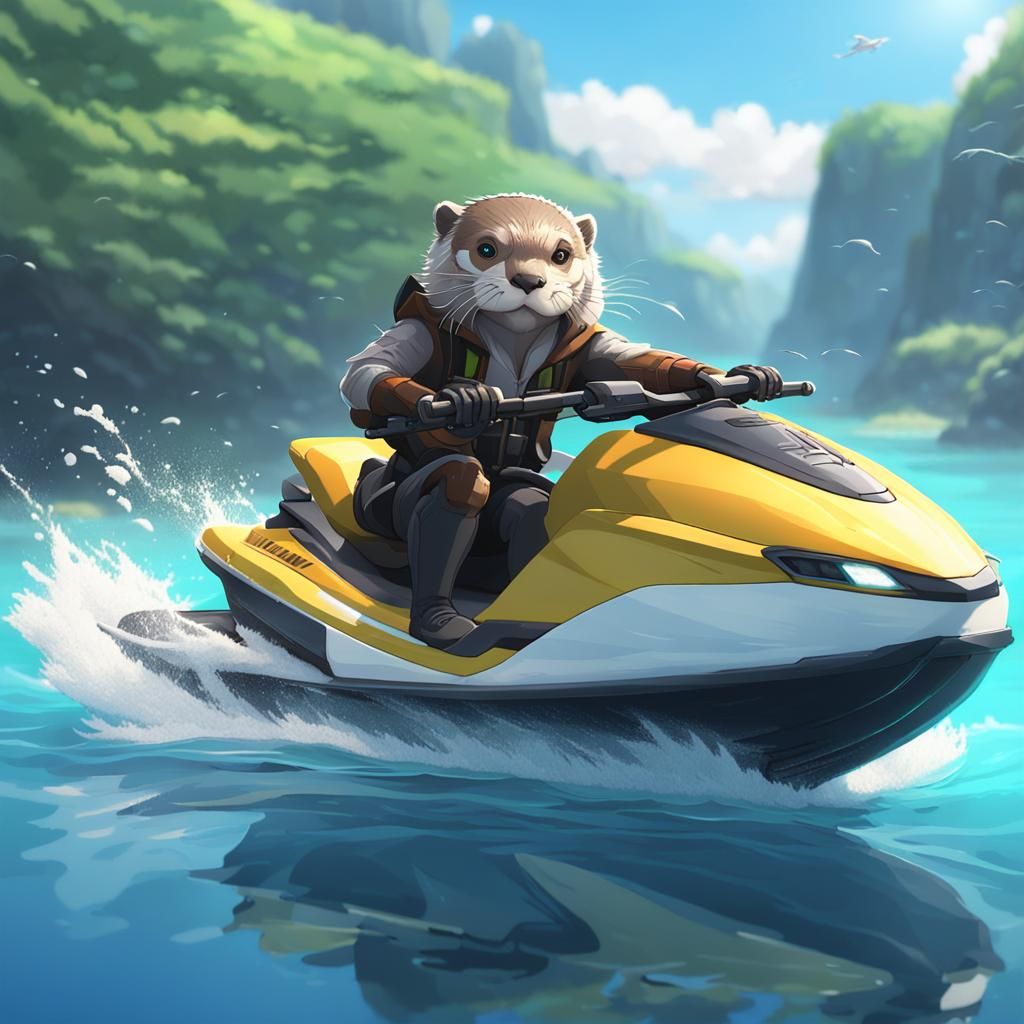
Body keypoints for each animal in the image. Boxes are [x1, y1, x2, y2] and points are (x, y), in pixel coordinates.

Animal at [341, 193, 784, 651]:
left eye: (561, 255)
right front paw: (464, 400)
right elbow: (367, 374)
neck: (513, 335)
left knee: (527, 504)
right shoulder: (420, 331)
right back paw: (439, 619)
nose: (528, 281)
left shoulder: (593, 346)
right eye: (486, 250)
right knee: (460, 482)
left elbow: (635, 363)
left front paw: (747, 376)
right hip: (384, 507)